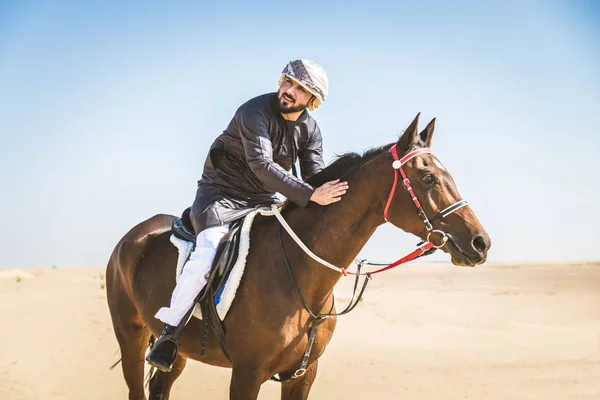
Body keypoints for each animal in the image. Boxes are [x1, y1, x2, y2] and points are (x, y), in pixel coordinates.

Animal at [106, 113, 492, 400]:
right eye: (427, 178)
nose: (480, 243)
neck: (298, 274)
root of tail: (132, 239)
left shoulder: (302, 375)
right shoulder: (246, 375)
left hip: (178, 354)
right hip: (131, 338)